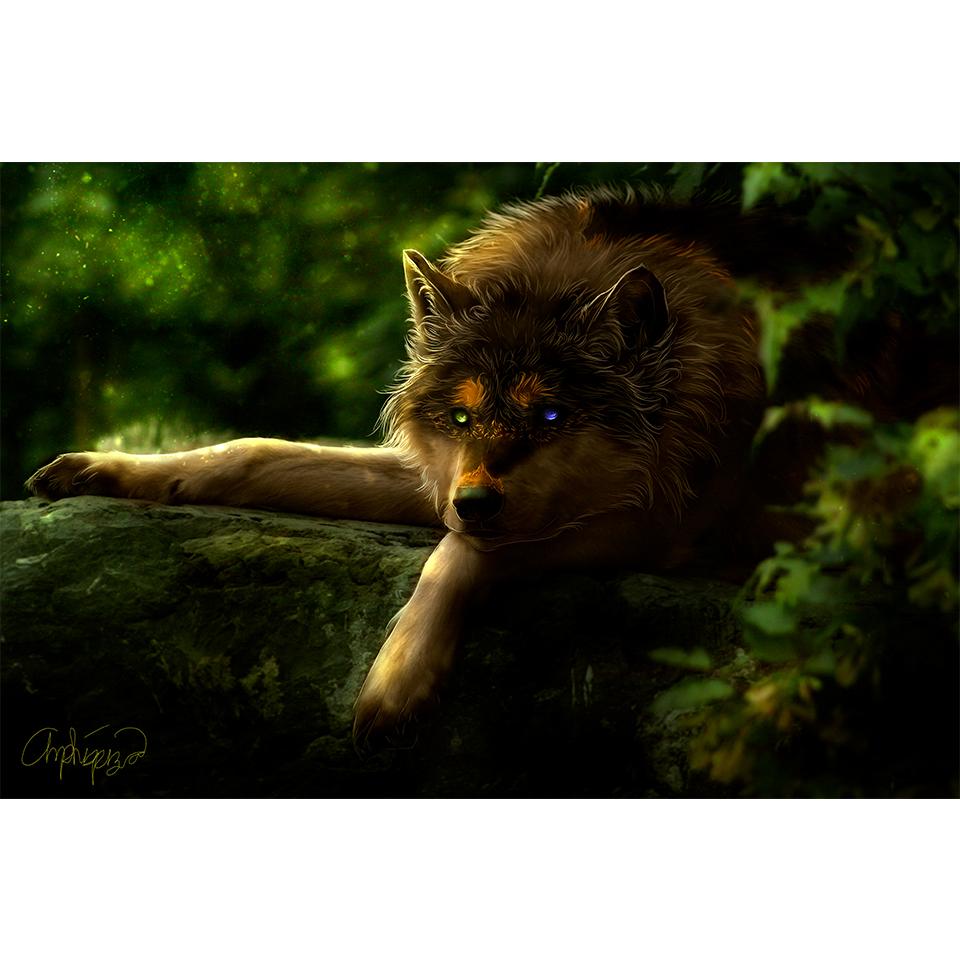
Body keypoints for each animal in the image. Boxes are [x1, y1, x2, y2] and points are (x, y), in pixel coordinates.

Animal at [28, 186, 784, 741]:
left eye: (549, 417)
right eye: (461, 418)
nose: (476, 504)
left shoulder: (675, 526)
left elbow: (462, 551)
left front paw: (395, 683)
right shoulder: (440, 483)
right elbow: (256, 451)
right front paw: (107, 471)